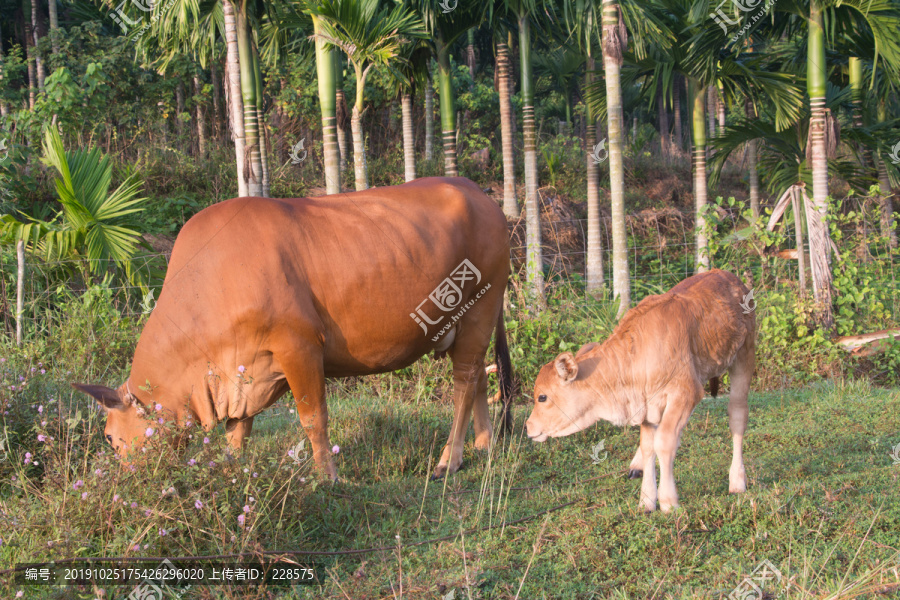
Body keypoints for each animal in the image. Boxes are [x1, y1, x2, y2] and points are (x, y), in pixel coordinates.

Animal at [72, 177, 512, 478]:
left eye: (109, 437)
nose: (126, 483)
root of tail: (477, 191)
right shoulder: (242, 369)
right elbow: (238, 429)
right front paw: (231, 470)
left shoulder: (298, 346)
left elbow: (313, 418)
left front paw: (326, 477)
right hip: (468, 323)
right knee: (478, 375)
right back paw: (484, 444)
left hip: (480, 309)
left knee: (463, 381)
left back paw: (448, 459)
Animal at [524, 270, 756, 510]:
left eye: (542, 397)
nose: (528, 426)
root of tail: (729, 276)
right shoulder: (647, 404)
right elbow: (649, 447)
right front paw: (646, 500)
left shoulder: (686, 392)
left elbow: (664, 443)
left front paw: (668, 500)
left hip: (744, 356)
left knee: (737, 415)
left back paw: (737, 480)